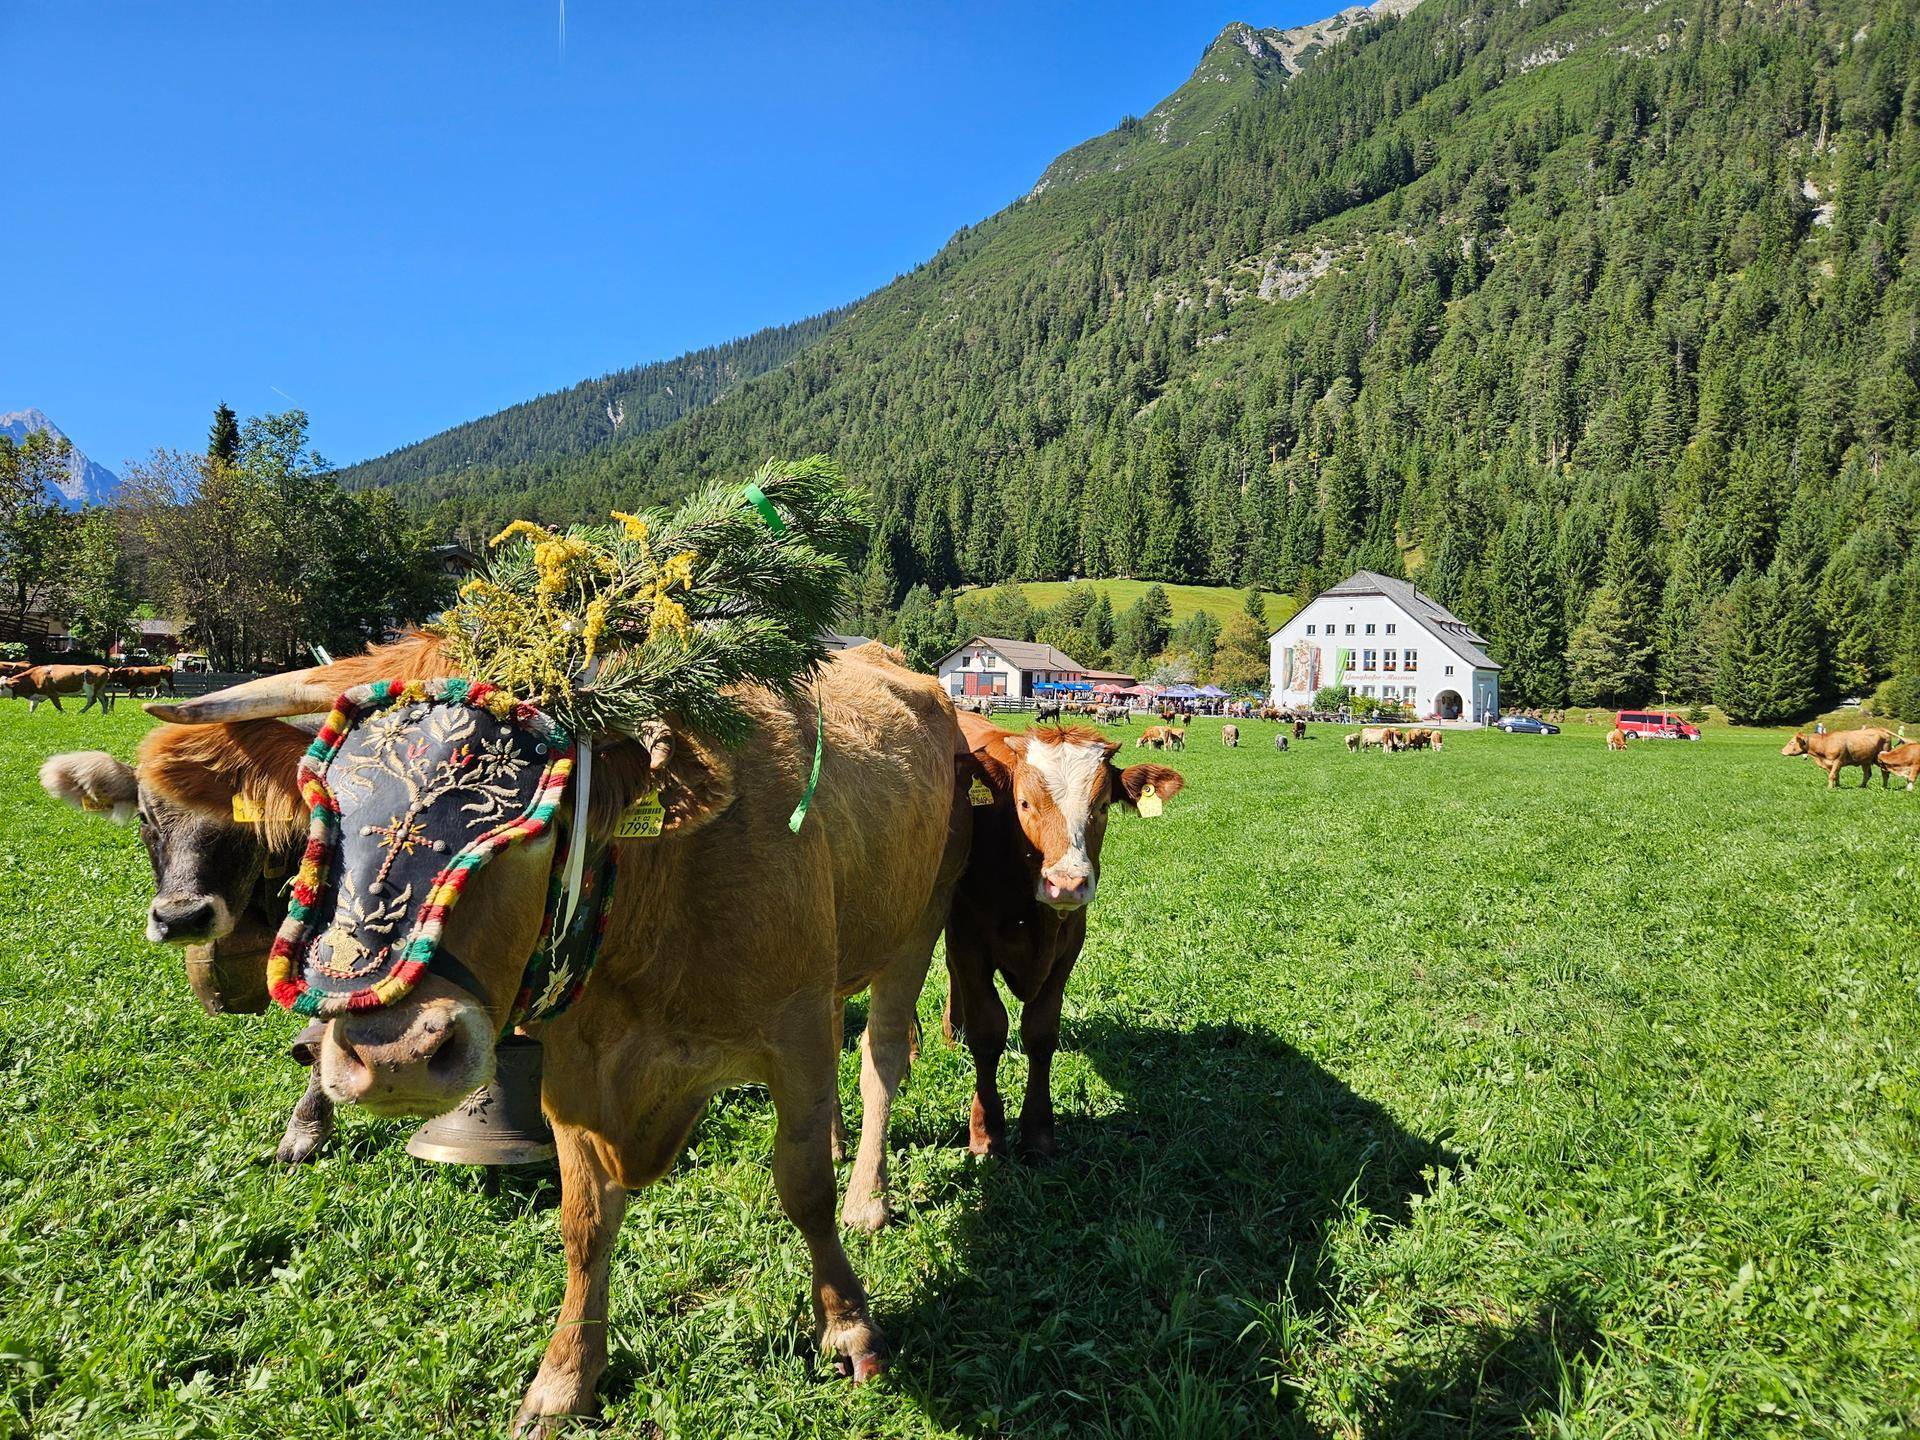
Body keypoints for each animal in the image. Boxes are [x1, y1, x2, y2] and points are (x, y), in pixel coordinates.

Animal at [119, 636, 972, 1431]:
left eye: (530, 826)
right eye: (325, 817)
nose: (396, 1056)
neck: (654, 893)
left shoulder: (791, 1031)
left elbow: (803, 1188)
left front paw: (848, 1326)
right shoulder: (573, 1067)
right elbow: (583, 1224)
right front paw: (564, 1380)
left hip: (920, 921)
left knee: (879, 1061)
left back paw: (869, 1194)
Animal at [944, 717, 1182, 1160]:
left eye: (1102, 806)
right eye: (1023, 804)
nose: (1067, 883)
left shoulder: (1067, 947)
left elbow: (1040, 1033)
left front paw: (1038, 1132)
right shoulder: (967, 940)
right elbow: (988, 1031)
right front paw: (986, 1132)